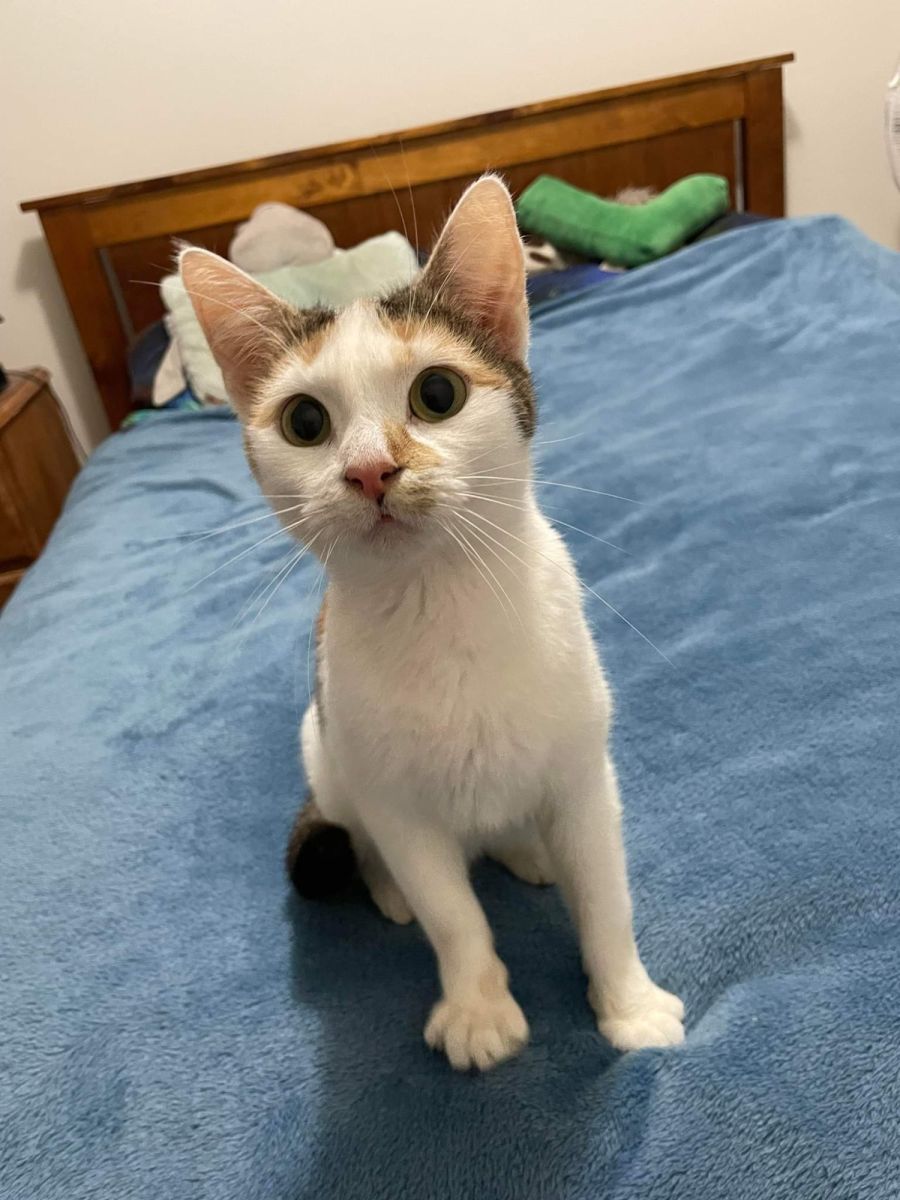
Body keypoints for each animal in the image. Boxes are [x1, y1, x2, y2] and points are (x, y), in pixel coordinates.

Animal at [180, 176, 684, 1071]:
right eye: (305, 422)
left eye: (437, 394)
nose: (370, 470)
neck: (439, 600)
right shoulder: (397, 804)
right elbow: (455, 915)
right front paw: (478, 1008)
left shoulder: (585, 775)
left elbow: (606, 898)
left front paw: (628, 1003)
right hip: (324, 749)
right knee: (364, 838)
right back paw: (391, 890)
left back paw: (528, 850)